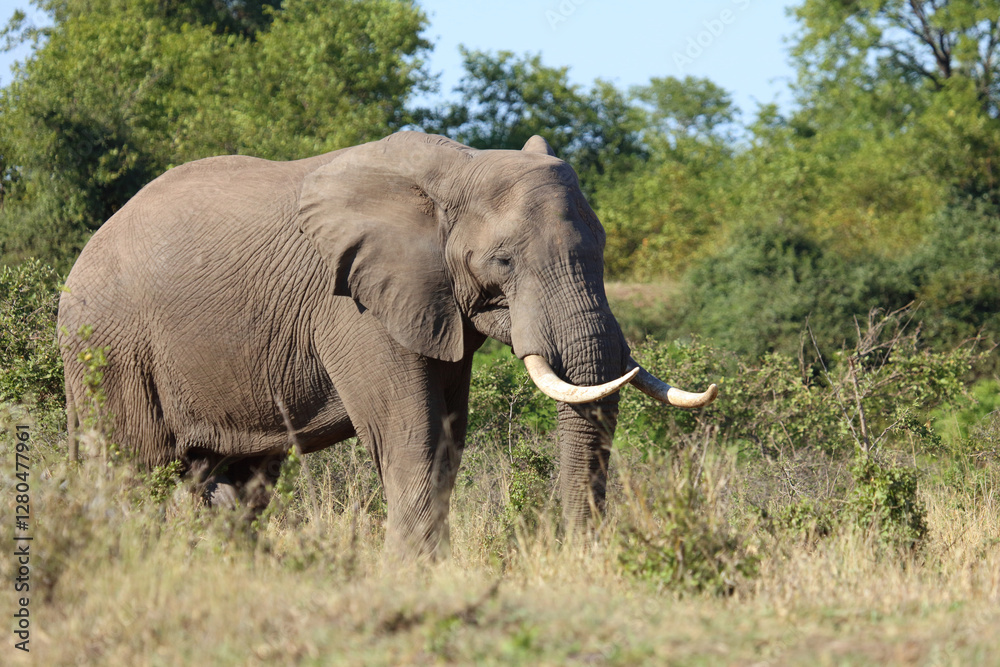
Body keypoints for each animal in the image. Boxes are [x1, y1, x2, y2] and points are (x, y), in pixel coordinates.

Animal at [58, 131, 717, 559]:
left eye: (603, 248)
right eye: (503, 261)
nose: (582, 558)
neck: (456, 170)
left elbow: (447, 433)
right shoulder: (353, 305)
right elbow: (411, 432)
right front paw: (414, 576)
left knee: (239, 483)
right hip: (109, 346)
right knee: (133, 466)